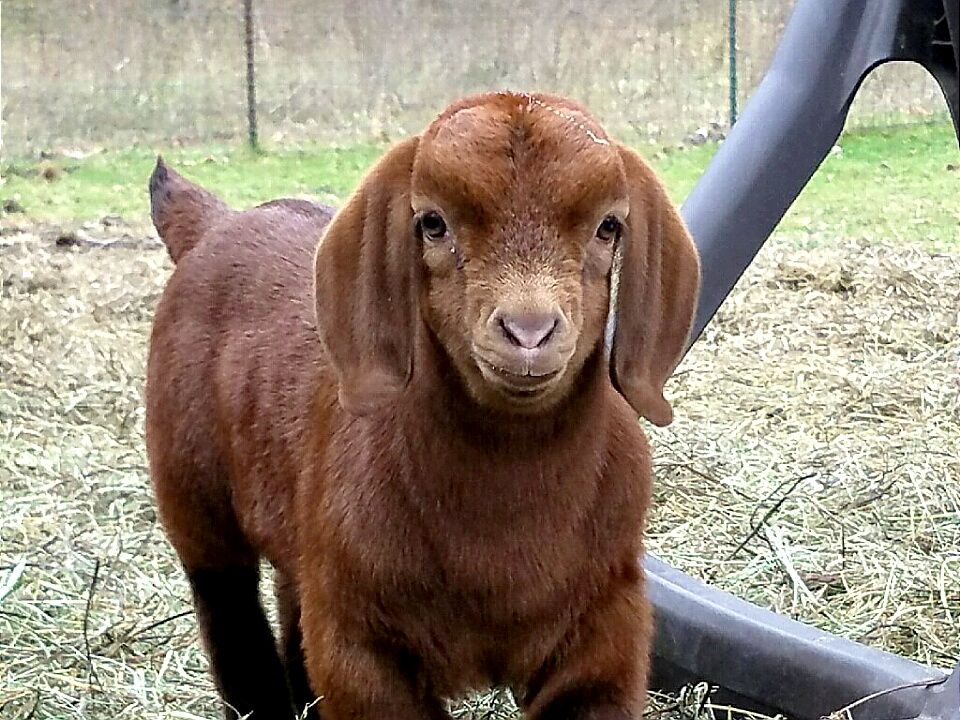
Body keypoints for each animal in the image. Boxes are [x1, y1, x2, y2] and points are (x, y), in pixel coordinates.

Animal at [146, 91, 700, 720]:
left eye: (609, 226)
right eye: (432, 223)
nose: (529, 332)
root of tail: (216, 224)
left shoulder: (606, 625)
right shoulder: (360, 644)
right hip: (191, 486)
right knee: (229, 613)